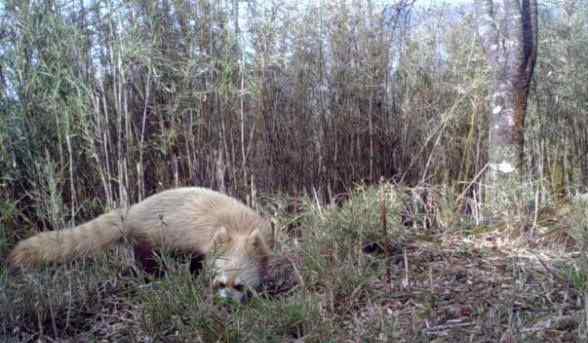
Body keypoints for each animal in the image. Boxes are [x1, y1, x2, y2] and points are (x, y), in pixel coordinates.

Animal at [7, 188, 274, 304]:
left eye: (239, 285)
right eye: (220, 283)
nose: (225, 301)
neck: (238, 227)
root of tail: (132, 211)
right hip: (149, 243)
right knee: (146, 262)